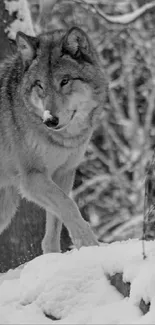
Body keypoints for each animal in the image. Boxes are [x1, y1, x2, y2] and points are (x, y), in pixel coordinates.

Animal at [0, 26, 106, 252]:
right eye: (39, 85)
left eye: (64, 81)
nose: (50, 119)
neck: (62, 140)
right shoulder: (32, 178)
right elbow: (69, 205)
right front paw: (89, 244)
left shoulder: (63, 173)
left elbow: (56, 222)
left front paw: (54, 254)